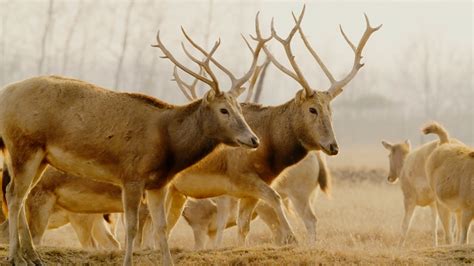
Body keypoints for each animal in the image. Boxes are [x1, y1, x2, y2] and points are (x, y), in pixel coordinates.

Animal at [0, 15, 268, 264]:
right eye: (224, 110)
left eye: (240, 108)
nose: (253, 139)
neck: (169, 145)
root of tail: (5, 93)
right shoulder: (131, 175)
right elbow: (131, 228)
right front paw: (127, 261)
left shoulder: (159, 183)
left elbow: (162, 228)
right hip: (23, 146)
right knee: (14, 195)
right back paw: (15, 256)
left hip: (40, 157)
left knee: (20, 196)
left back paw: (32, 256)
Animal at [165, 5, 384, 247]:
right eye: (312, 109)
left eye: (330, 110)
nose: (333, 146)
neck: (268, 150)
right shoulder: (241, 179)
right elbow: (270, 202)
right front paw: (291, 237)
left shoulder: (246, 191)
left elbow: (243, 226)